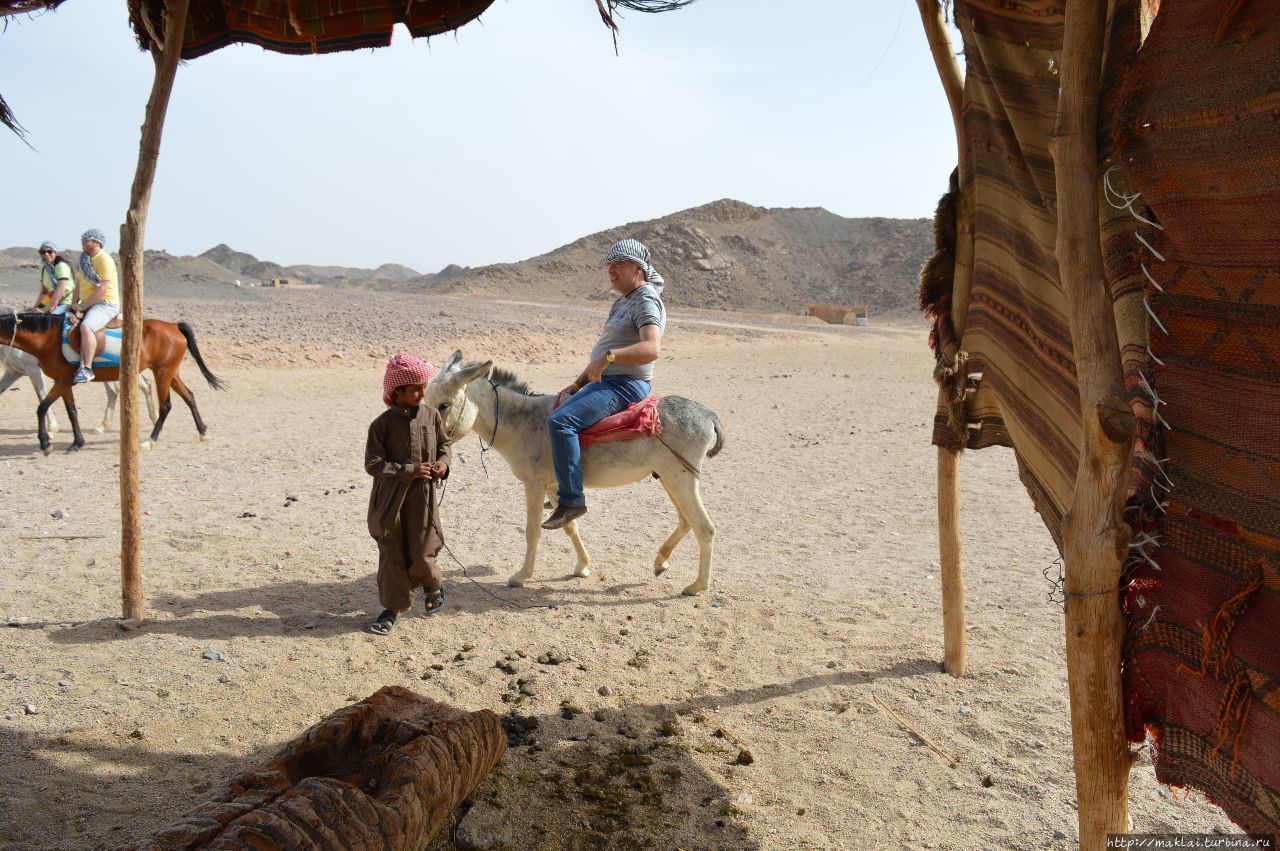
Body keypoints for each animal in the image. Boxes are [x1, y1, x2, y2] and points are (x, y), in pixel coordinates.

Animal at [0, 310, 224, 455]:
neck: (50, 339)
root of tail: (174, 326)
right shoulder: (63, 382)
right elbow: (72, 412)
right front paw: (77, 443)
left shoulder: (62, 381)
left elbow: (42, 407)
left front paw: (46, 443)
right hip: (171, 373)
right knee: (189, 397)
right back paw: (203, 432)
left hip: (162, 373)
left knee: (166, 406)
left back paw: (149, 441)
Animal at [430, 348, 727, 593]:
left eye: (445, 404)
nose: (431, 445)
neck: (523, 421)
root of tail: (709, 414)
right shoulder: (556, 487)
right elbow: (569, 525)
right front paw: (582, 567)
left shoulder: (534, 484)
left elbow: (532, 530)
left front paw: (521, 576)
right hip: (670, 479)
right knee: (686, 521)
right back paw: (661, 562)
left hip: (680, 480)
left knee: (704, 527)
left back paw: (697, 586)